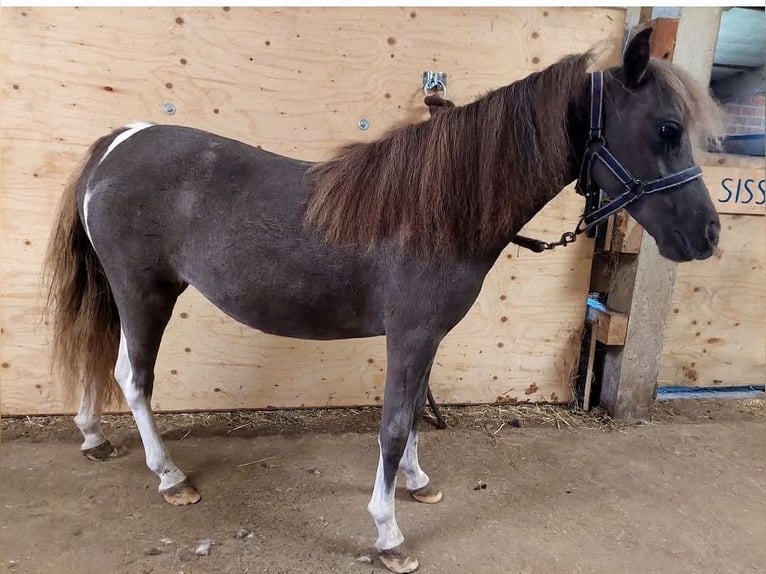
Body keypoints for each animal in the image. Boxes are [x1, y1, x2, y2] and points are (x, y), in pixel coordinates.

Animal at [44, 27, 722, 573]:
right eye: (667, 129)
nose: (708, 236)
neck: (436, 210)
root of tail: (118, 144)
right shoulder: (411, 333)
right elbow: (394, 426)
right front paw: (389, 534)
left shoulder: (427, 338)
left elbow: (417, 409)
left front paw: (417, 483)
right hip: (145, 293)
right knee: (133, 378)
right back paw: (170, 477)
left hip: (124, 294)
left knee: (102, 362)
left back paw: (93, 437)